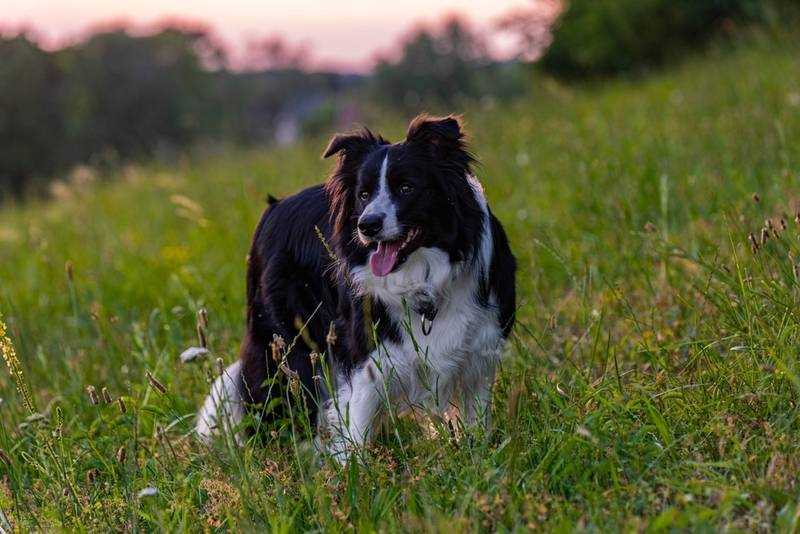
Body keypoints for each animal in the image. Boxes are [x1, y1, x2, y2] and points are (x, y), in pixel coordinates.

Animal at [197, 115, 516, 462]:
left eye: (407, 188)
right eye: (364, 194)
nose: (367, 225)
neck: (426, 277)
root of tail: (273, 209)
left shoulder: (478, 351)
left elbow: (476, 419)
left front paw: (478, 456)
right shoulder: (363, 354)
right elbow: (357, 427)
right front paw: (351, 471)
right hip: (284, 341)